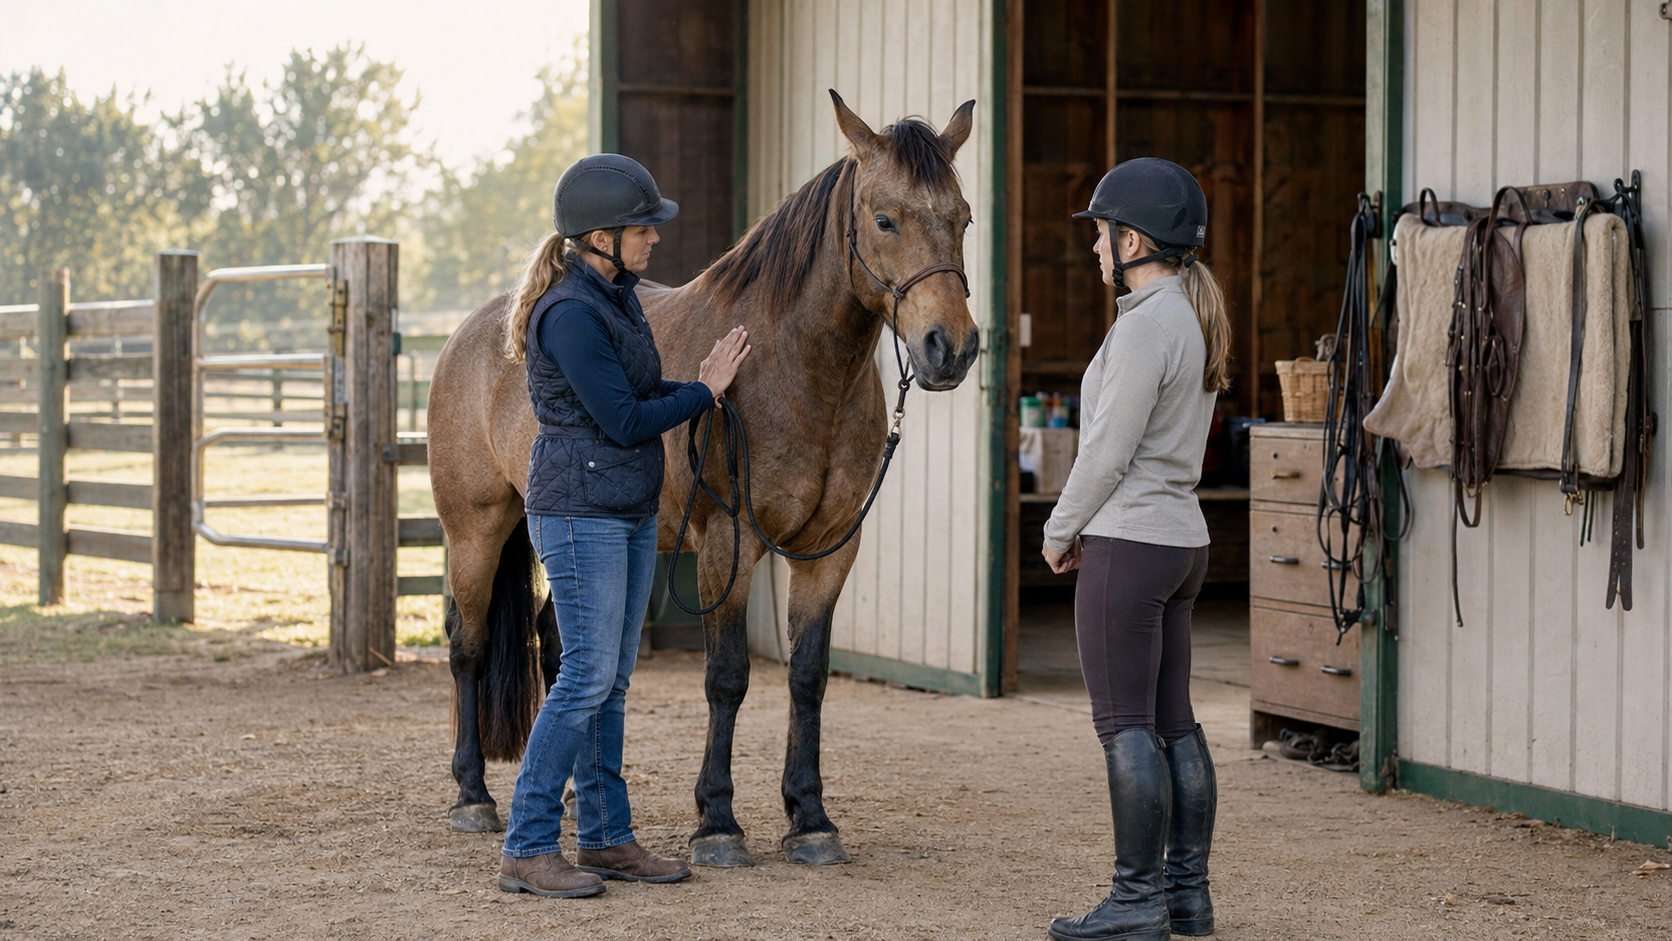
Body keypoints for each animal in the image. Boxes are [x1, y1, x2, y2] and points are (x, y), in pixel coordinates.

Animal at [426, 91, 980, 867]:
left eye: (962, 217)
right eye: (885, 218)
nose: (949, 349)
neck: (796, 369)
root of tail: (477, 328)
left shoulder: (833, 549)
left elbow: (808, 678)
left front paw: (811, 818)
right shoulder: (728, 541)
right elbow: (727, 678)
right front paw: (718, 822)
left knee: (560, 645)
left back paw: (572, 799)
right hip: (475, 531)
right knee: (467, 648)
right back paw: (471, 795)